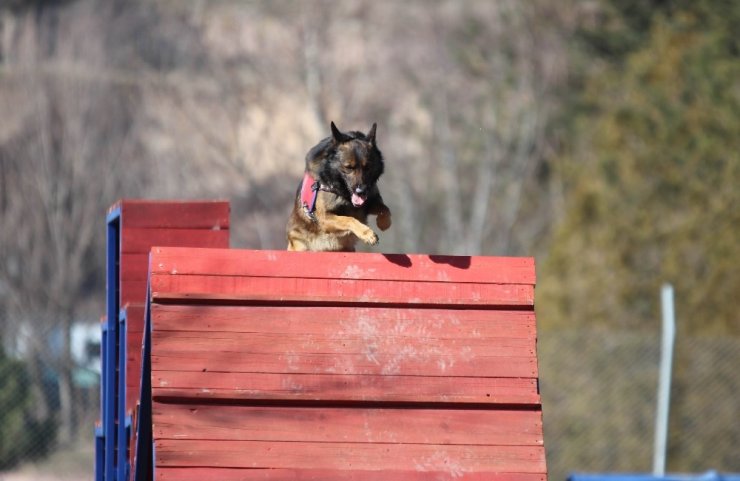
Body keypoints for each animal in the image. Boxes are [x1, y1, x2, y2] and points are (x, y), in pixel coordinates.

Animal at [288, 121, 394, 251]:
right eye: (348, 167)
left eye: (367, 167)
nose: (361, 191)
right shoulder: (325, 218)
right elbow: (349, 219)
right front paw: (367, 234)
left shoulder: (370, 203)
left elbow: (385, 209)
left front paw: (384, 223)